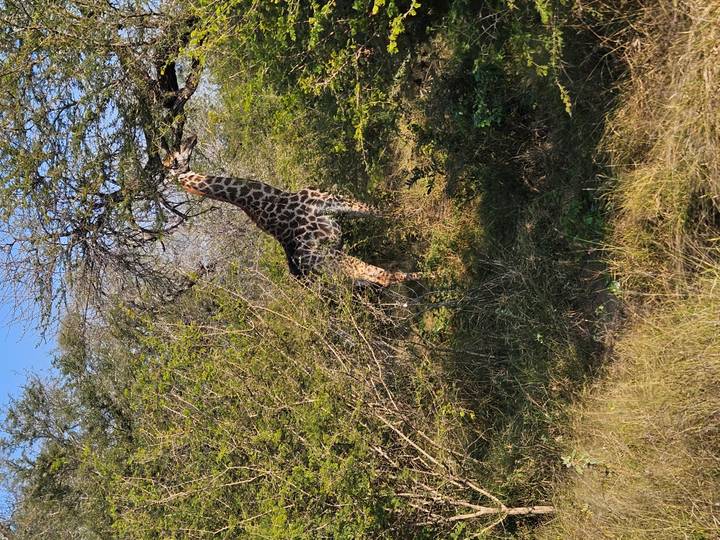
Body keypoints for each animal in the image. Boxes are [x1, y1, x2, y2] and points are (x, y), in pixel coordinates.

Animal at [162, 135, 421, 286]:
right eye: (175, 155)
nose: (191, 137)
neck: (271, 198)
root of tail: (304, 276)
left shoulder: (333, 203)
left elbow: (381, 212)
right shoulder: (332, 203)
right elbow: (384, 212)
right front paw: (420, 221)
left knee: (379, 277)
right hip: (333, 259)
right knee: (384, 276)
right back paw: (427, 277)